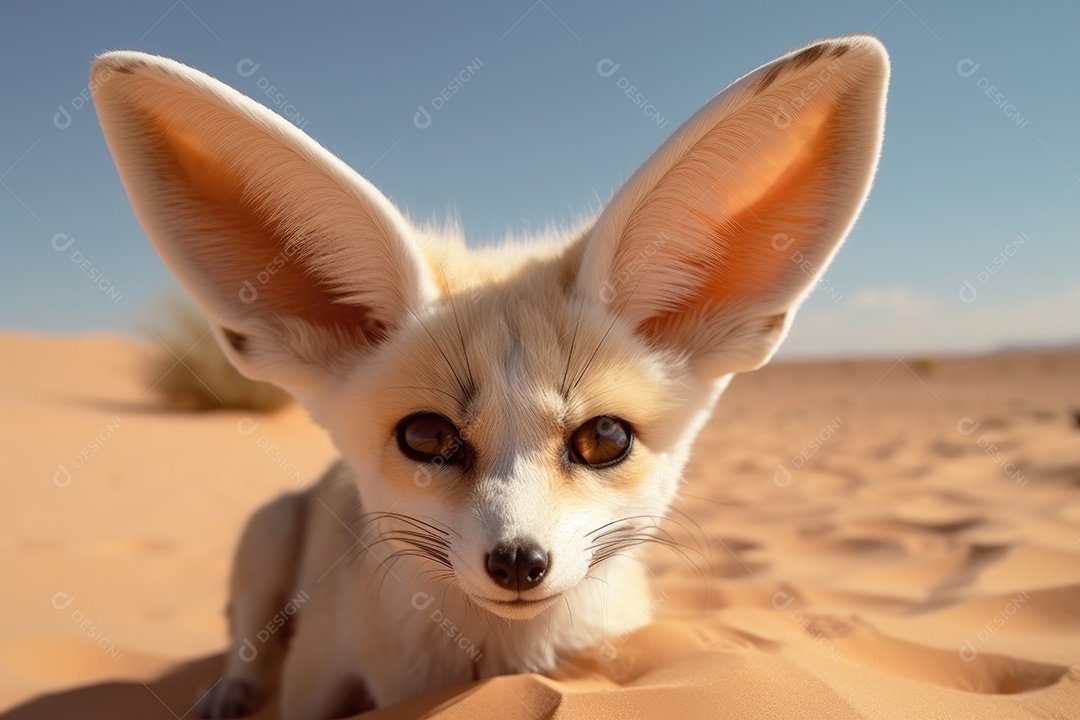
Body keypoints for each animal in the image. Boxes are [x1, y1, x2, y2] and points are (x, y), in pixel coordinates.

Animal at [91, 34, 888, 719]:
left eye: (605, 439)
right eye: (425, 437)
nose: (518, 562)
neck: (493, 670)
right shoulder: (317, 677)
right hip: (267, 533)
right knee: (247, 641)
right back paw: (229, 689)